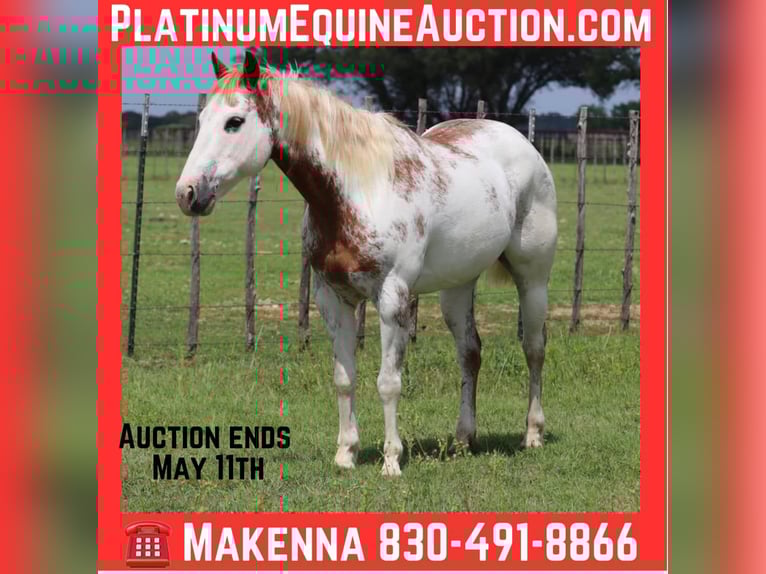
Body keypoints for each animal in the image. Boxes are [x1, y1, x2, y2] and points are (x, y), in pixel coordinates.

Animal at [175, 50, 558, 477]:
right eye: (203, 120)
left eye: (234, 122)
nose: (188, 193)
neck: (357, 190)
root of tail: (521, 142)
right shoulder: (332, 298)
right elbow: (345, 377)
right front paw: (346, 454)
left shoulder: (392, 299)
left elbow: (388, 381)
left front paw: (391, 460)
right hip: (457, 286)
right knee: (470, 352)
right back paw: (463, 439)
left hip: (533, 278)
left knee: (534, 348)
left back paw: (533, 434)